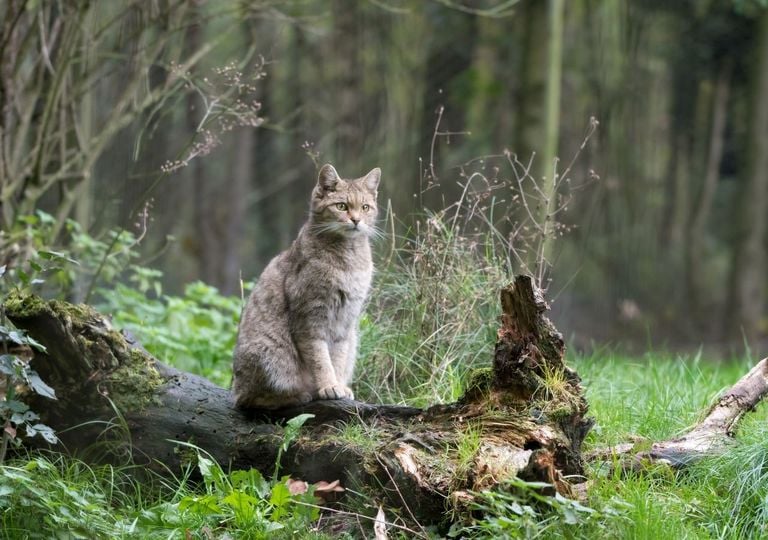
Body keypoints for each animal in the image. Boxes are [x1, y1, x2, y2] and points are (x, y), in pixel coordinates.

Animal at [231, 165, 380, 410]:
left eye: (365, 207)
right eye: (342, 206)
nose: (356, 220)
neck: (348, 256)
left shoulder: (345, 323)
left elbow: (337, 358)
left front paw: (339, 385)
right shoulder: (310, 319)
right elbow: (320, 358)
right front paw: (329, 386)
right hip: (270, 356)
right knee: (250, 399)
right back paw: (298, 395)